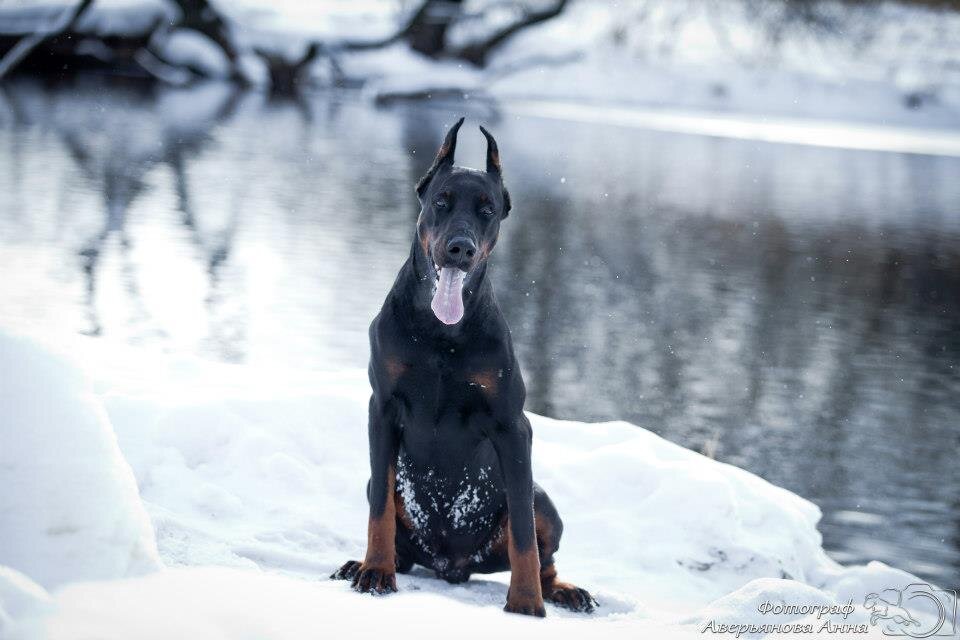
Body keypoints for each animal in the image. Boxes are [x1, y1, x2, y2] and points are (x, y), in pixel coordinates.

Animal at [334, 117, 596, 616]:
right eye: (441, 201)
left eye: (487, 210)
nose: (461, 248)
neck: (441, 335)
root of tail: (451, 567)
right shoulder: (382, 409)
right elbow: (379, 511)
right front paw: (375, 571)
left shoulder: (513, 427)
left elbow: (523, 534)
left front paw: (526, 603)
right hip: (384, 485)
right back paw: (366, 564)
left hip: (545, 504)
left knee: (542, 546)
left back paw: (563, 590)